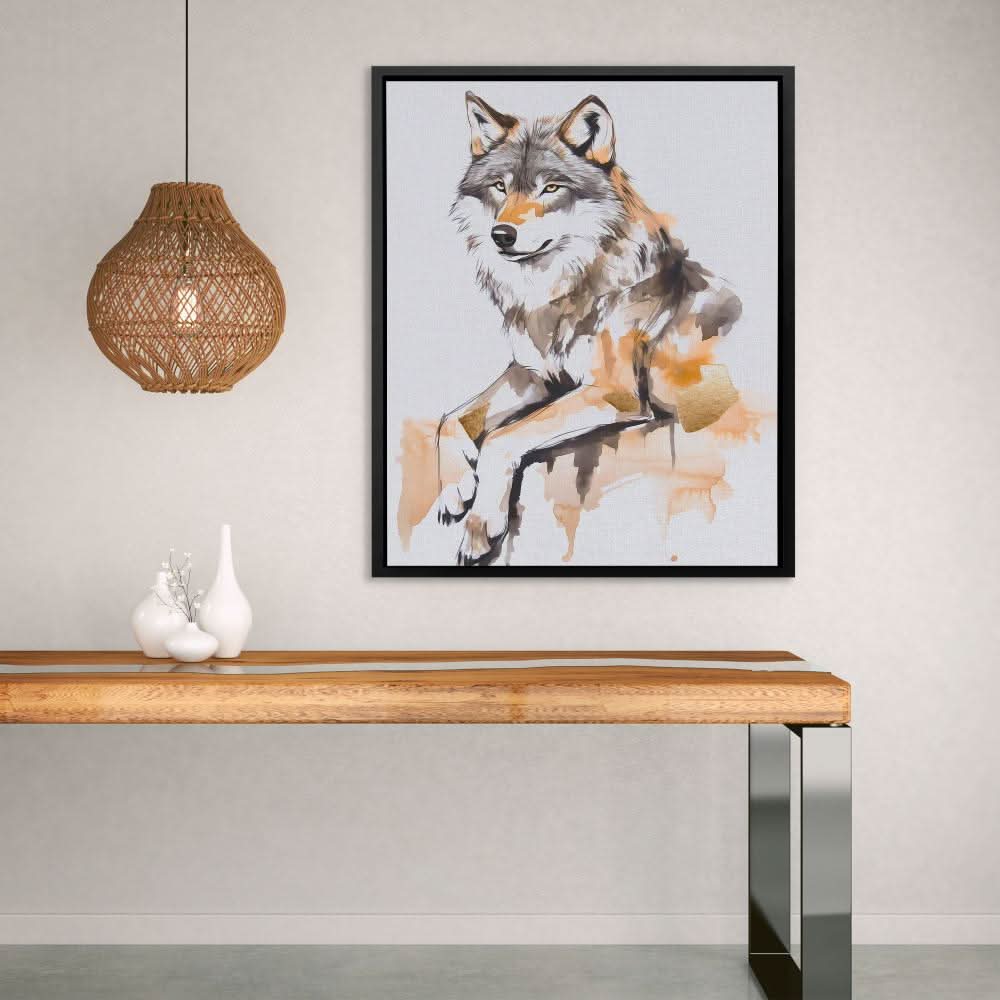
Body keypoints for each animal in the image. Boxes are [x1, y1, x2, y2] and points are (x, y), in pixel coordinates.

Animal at [438, 92, 743, 565]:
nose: (501, 234)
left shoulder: (613, 391)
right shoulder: (534, 375)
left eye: (550, 188)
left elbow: (503, 436)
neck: (561, 291)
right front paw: (456, 486)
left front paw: (480, 524)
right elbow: (450, 418)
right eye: (500, 187)